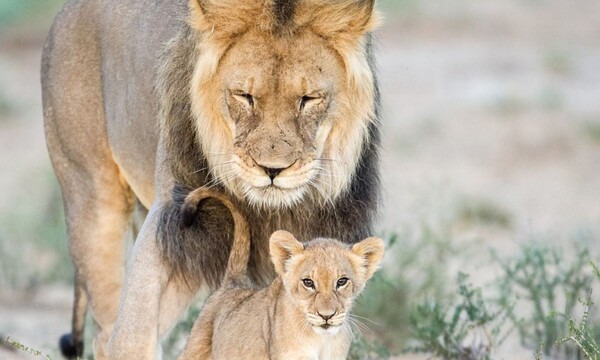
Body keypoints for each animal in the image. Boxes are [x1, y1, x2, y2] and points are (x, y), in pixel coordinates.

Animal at [41, 0, 380, 358]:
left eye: (309, 99)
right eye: (244, 96)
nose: (272, 170)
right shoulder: (174, 222)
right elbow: (132, 334)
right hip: (91, 197)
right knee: (105, 326)